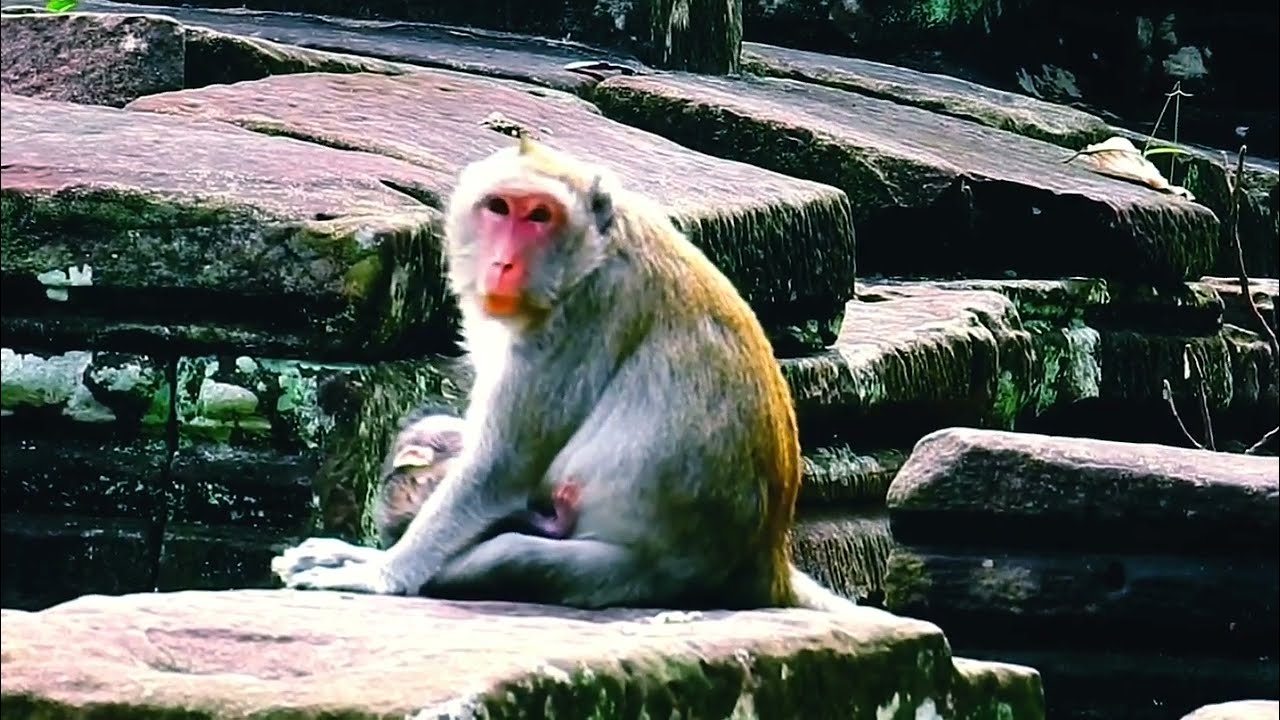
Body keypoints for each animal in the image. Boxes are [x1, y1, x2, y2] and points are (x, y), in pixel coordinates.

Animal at [270, 135, 857, 612]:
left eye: (540, 216)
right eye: (499, 207)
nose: (503, 265)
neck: (592, 252)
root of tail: (768, 564)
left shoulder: (579, 317)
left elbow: (499, 469)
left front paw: (377, 572)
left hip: (636, 574)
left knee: (509, 555)